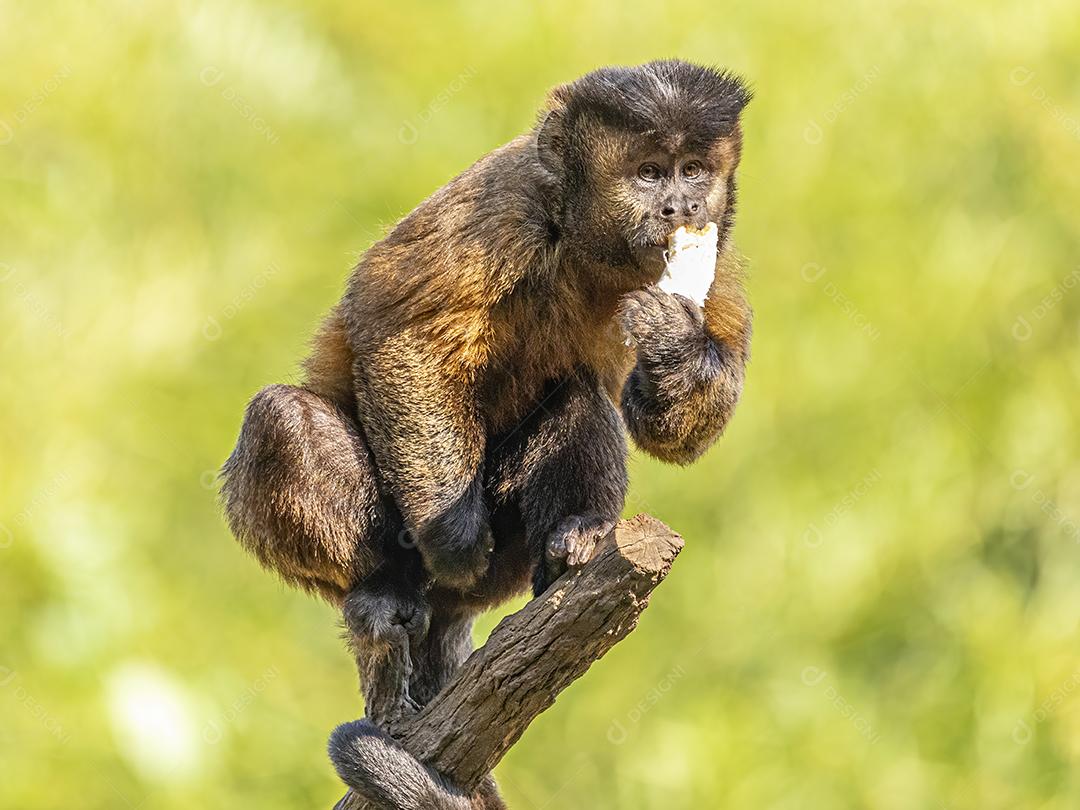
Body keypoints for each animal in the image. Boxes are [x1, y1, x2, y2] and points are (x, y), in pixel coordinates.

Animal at [221, 60, 751, 807]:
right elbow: (396, 331)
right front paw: (455, 536)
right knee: (280, 418)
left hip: (509, 567)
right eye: (650, 173)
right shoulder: (503, 202)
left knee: (576, 396)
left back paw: (576, 538)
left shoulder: (718, 244)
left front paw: (674, 341)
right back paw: (381, 590)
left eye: (693, 171)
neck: (587, 244)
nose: (681, 208)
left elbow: (680, 433)